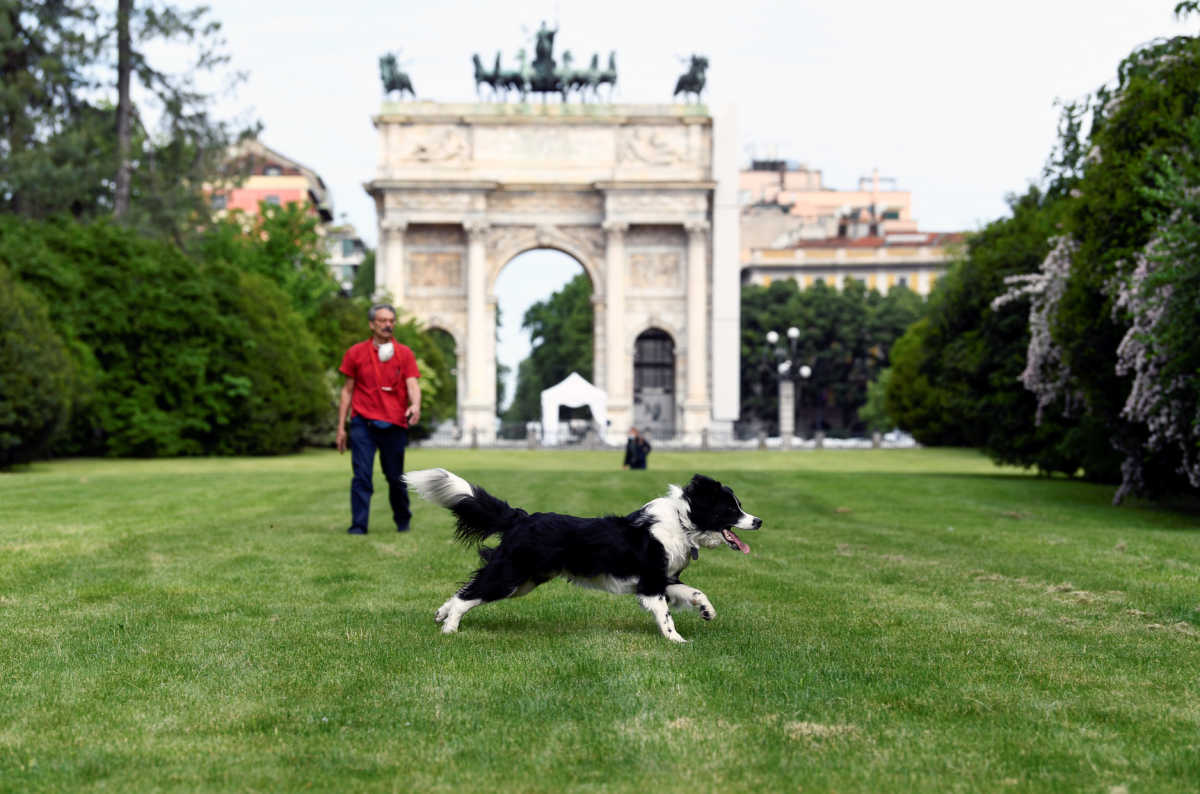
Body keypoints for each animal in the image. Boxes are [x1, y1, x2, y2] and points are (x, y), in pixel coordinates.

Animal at [403, 470, 758, 642]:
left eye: (740, 506)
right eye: (731, 509)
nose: (758, 521)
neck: (682, 522)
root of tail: (522, 517)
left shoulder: (664, 578)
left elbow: (696, 591)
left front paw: (707, 612)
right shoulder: (650, 584)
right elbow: (665, 615)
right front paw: (677, 641)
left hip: (523, 580)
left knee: (466, 589)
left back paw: (440, 615)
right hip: (511, 576)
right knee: (469, 595)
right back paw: (450, 629)